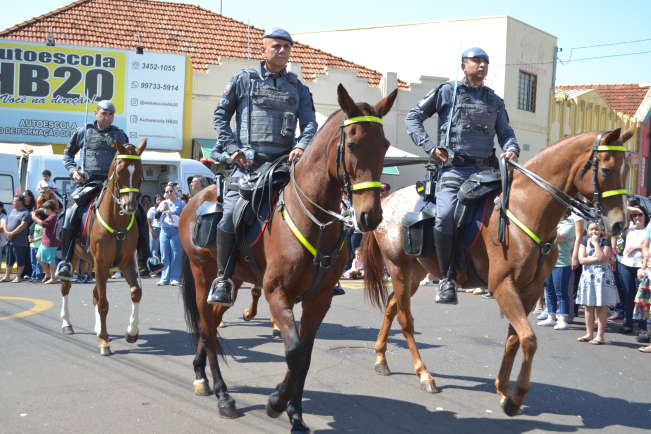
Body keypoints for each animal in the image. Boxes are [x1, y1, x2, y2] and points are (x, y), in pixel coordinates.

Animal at [59, 138, 147, 356]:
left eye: (140, 171)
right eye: (120, 170)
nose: (130, 206)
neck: (116, 219)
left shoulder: (124, 262)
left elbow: (135, 292)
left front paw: (131, 332)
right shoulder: (100, 262)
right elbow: (104, 303)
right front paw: (105, 343)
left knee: (95, 295)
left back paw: (99, 329)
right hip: (74, 259)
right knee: (66, 287)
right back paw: (67, 323)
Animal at [179, 84, 397, 432]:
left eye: (386, 145)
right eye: (352, 144)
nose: (370, 216)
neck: (315, 220)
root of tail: (194, 198)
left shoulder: (318, 300)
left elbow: (304, 357)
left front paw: (295, 415)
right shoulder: (276, 293)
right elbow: (294, 352)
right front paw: (276, 402)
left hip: (231, 279)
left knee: (207, 324)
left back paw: (201, 374)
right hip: (203, 278)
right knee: (208, 330)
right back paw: (223, 395)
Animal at [363, 126, 634, 416]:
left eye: (627, 170)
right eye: (606, 170)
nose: (620, 224)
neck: (526, 210)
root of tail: (387, 200)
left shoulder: (530, 290)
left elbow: (515, 339)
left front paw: (504, 390)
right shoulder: (503, 285)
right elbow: (528, 339)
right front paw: (516, 397)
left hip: (414, 272)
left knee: (392, 305)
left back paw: (381, 358)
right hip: (398, 267)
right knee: (405, 320)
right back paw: (424, 374)